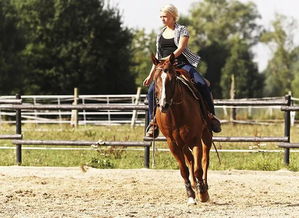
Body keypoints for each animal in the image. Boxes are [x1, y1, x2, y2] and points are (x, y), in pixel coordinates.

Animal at [152, 52, 213, 204]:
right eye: (155, 79)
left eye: (172, 79)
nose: (164, 105)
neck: (176, 112)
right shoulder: (172, 143)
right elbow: (184, 169)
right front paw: (190, 194)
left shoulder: (196, 140)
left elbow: (198, 168)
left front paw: (202, 193)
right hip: (183, 144)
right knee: (190, 160)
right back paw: (194, 186)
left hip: (206, 136)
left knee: (205, 160)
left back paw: (204, 186)